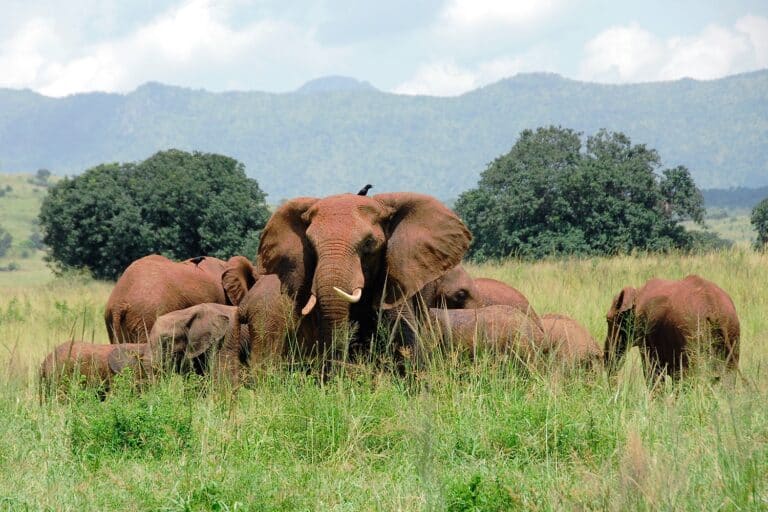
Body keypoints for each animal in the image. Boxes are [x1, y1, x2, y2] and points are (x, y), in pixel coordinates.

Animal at [604, 274, 740, 380]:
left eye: (608, 320)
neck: (636, 292)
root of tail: (712, 305)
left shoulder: (645, 332)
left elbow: (652, 373)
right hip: (732, 329)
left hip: (691, 333)